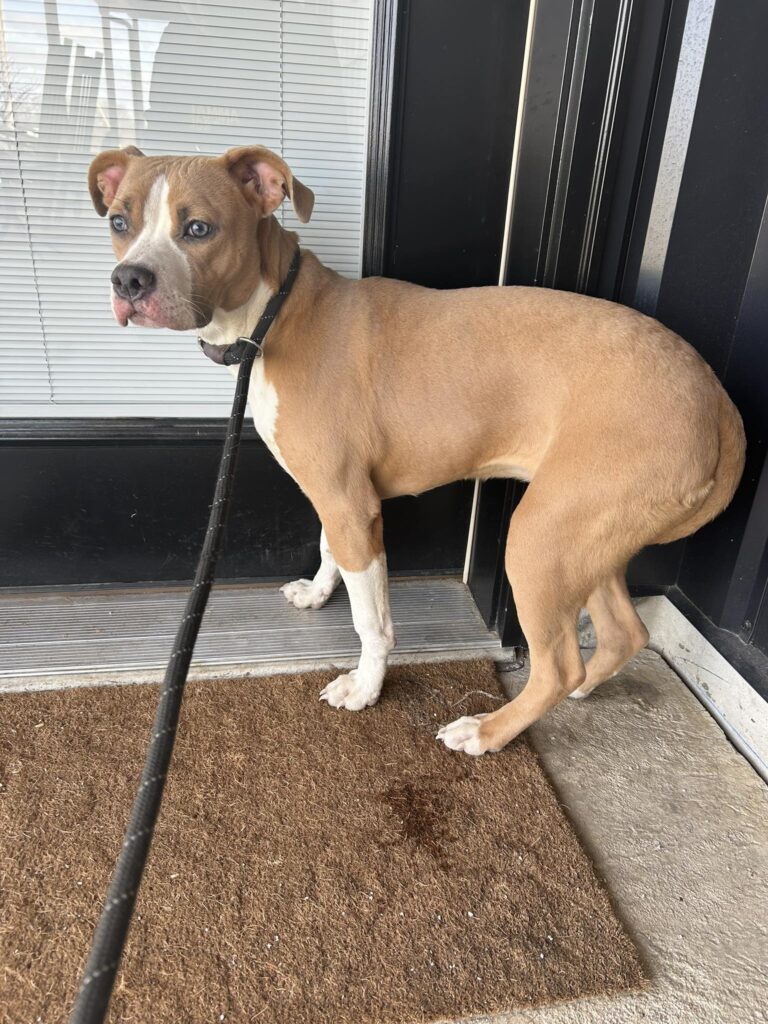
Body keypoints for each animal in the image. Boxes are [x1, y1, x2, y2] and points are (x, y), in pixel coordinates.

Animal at [87, 144, 745, 756]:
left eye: (199, 228)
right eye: (120, 220)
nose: (129, 281)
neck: (275, 314)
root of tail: (716, 397)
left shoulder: (351, 503)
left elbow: (371, 620)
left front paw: (365, 688)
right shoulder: (337, 497)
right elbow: (330, 549)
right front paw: (319, 592)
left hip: (542, 538)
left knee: (561, 663)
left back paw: (490, 730)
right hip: (586, 537)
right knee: (623, 632)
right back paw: (583, 688)